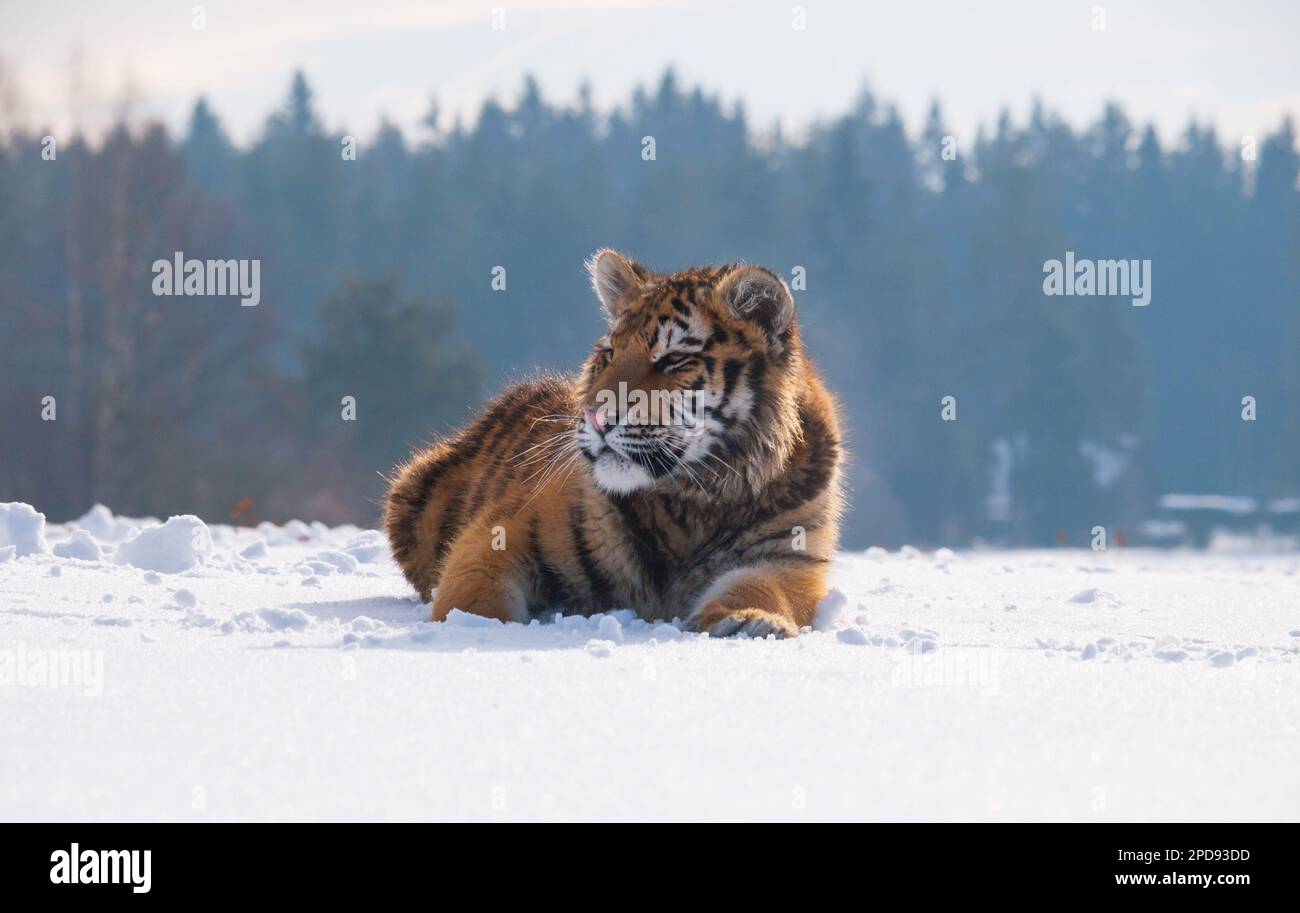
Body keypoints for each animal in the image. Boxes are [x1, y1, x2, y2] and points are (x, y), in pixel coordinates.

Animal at [379, 247, 847, 639]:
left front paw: (746, 622)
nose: (595, 416)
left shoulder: (787, 557)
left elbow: (762, 589)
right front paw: (472, 632)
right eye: (609, 353)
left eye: (673, 359)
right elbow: (474, 597)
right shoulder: (499, 534)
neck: (694, 499)